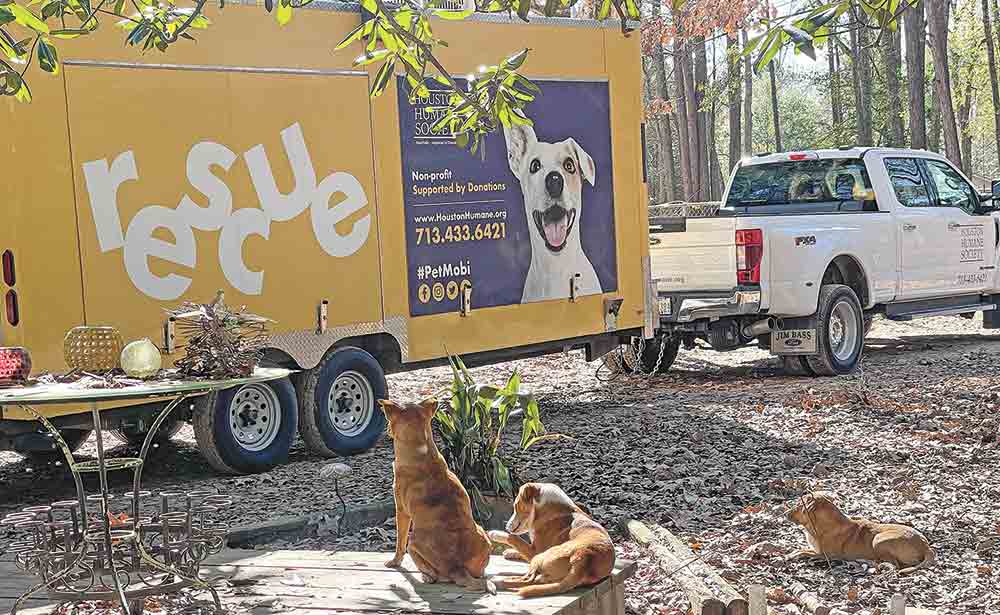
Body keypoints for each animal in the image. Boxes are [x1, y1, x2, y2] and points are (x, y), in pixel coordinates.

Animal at [378, 402, 496, 596]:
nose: (386, 431)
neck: (421, 451)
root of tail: (456, 568)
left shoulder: (401, 512)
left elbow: (399, 543)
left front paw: (394, 562)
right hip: (483, 534)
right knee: (479, 573)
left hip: (413, 541)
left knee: (432, 574)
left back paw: (426, 576)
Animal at [486, 484, 616, 600]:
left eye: (515, 506)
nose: (507, 526)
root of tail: (584, 558)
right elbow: (519, 547)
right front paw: (509, 552)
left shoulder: (535, 551)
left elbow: (514, 539)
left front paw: (494, 533)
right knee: (534, 581)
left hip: (539, 557)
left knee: (527, 579)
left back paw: (496, 581)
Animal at [788, 494, 936, 576]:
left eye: (799, 505)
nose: (785, 513)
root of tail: (926, 546)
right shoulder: (815, 549)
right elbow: (801, 549)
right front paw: (791, 553)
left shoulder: (826, 554)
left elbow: (803, 552)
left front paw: (792, 556)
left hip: (878, 539)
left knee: (896, 564)